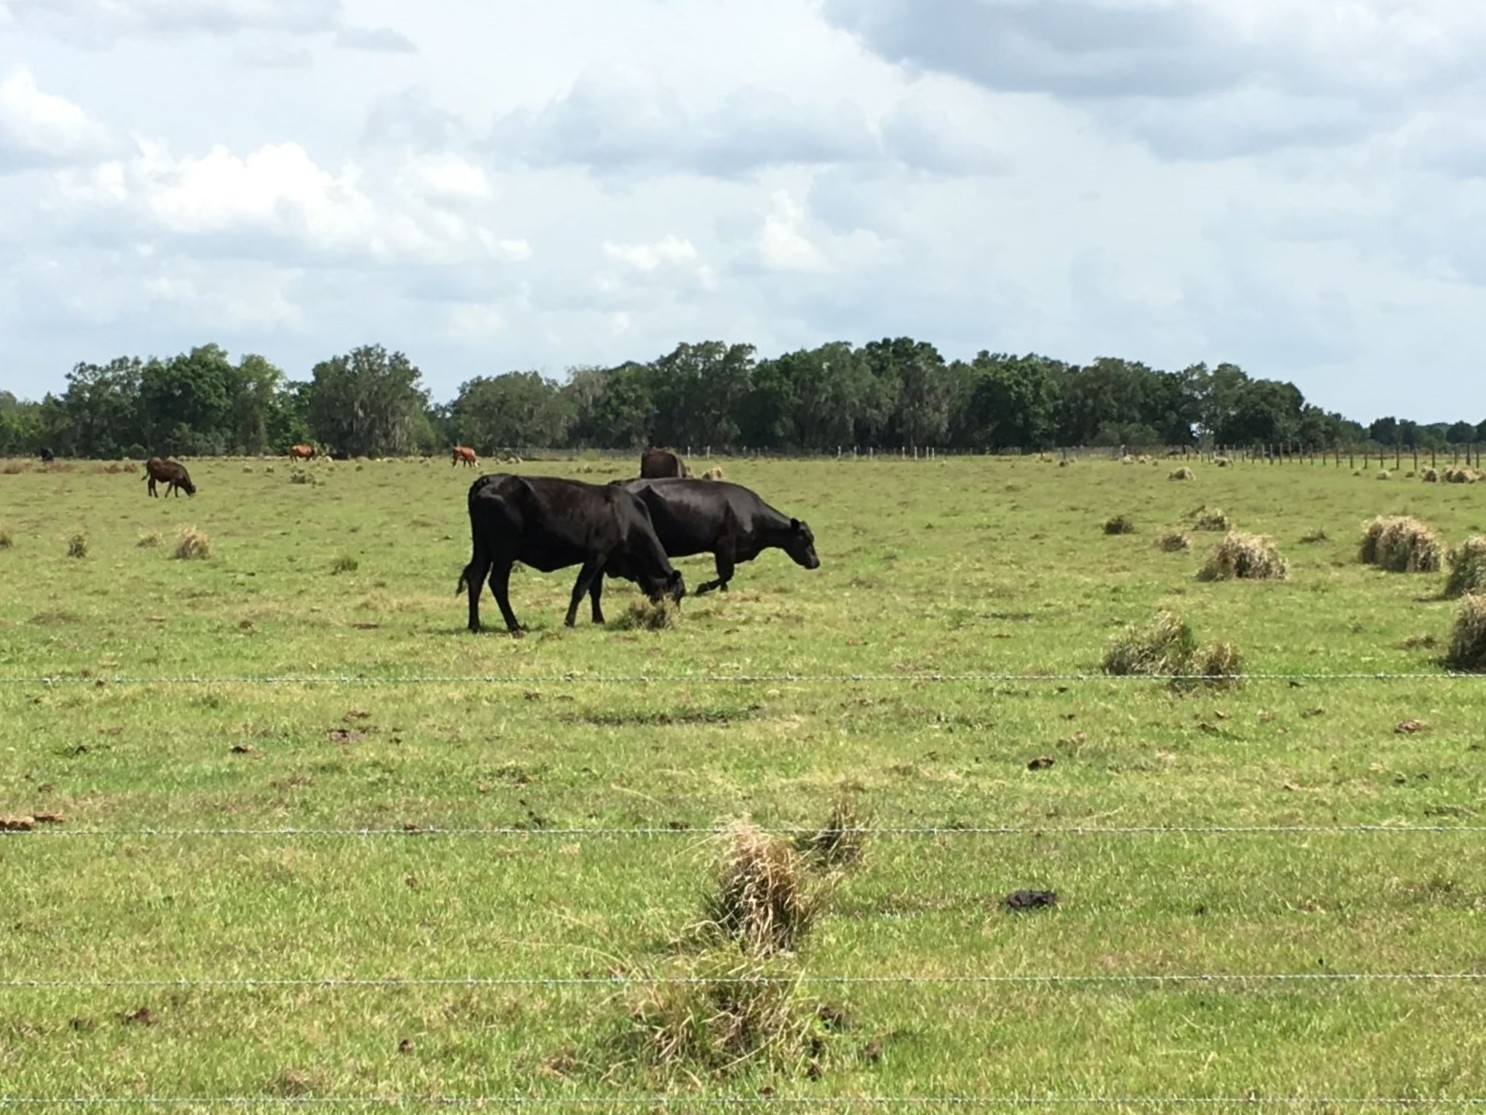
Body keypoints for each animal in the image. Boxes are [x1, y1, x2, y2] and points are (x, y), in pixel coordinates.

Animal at [456, 474, 685, 633]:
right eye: (675, 595)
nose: (672, 619)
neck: (626, 517)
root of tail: (489, 479)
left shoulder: (602, 561)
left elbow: (595, 590)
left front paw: (598, 618)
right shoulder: (596, 555)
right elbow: (580, 589)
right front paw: (569, 621)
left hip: (483, 549)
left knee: (475, 579)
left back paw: (474, 624)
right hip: (504, 552)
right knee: (497, 583)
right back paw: (514, 626)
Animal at [608, 478, 819, 595]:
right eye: (806, 539)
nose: (816, 562)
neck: (753, 514)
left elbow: (725, 574)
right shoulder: (725, 545)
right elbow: (727, 572)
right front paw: (704, 588)